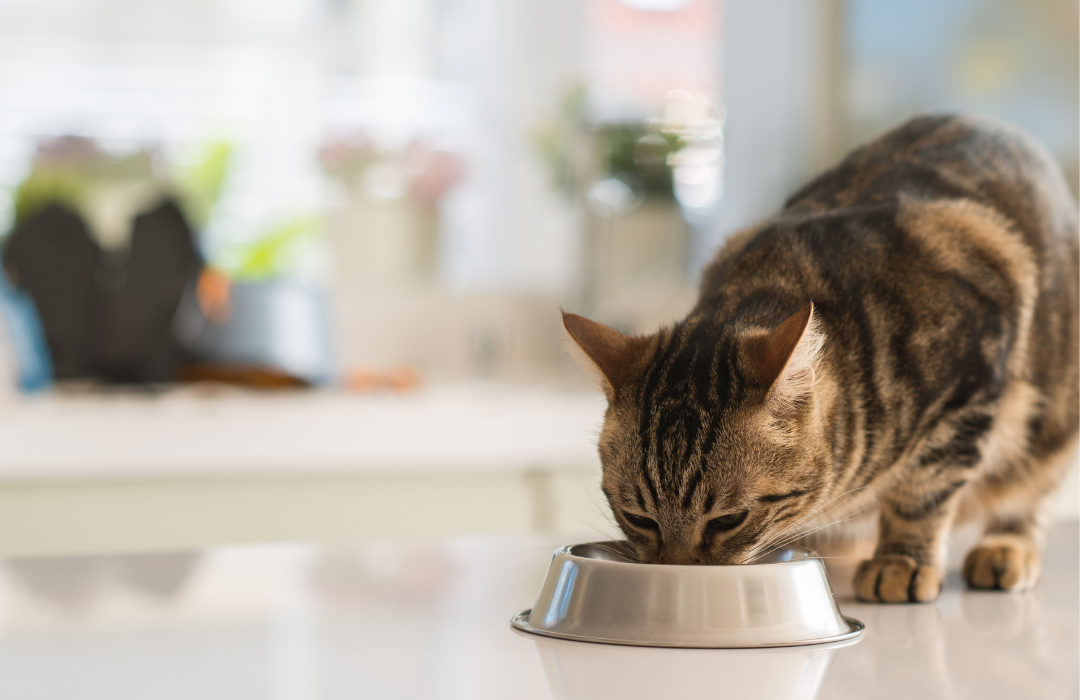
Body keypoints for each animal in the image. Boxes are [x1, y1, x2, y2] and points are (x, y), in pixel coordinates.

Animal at [570, 113, 1075, 600]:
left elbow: (923, 491)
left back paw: (1006, 546)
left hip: (1052, 427)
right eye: (639, 519)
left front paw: (902, 559)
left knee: (1028, 494)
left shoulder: (970, 379)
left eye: (727, 521)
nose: (674, 572)